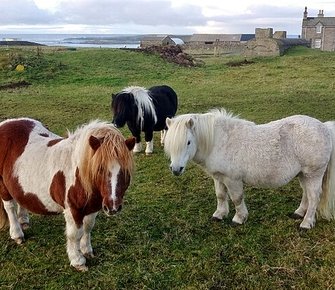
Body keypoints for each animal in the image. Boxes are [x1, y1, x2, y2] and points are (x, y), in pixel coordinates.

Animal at [0, 116, 136, 270]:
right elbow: (75, 234)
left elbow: (88, 227)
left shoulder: (92, 208)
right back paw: (17, 234)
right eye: (100, 168)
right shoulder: (73, 210)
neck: (80, 172)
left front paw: (87, 251)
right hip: (3, 186)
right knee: (10, 208)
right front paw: (78, 261)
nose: (113, 207)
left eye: (125, 171)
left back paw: (23, 221)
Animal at [164, 109, 335, 229]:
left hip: (313, 174)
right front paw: (219, 215)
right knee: (306, 194)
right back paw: (299, 213)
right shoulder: (218, 177)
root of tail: (324, 127)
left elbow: (237, 198)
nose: (176, 169)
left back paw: (306, 223)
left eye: (188, 142)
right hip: (303, 174)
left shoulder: (232, 180)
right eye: (168, 142)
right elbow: (220, 195)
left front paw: (239, 218)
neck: (219, 141)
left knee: (314, 197)